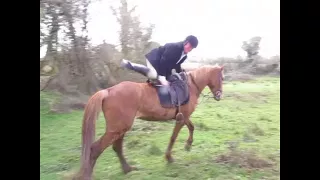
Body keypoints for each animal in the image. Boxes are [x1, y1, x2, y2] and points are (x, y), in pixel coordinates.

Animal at [75, 64, 225, 179]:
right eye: (221, 78)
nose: (219, 96)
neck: (190, 86)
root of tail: (108, 91)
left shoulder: (183, 117)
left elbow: (192, 127)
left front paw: (188, 145)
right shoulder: (181, 119)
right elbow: (173, 137)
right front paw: (169, 157)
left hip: (120, 128)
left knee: (117, 147)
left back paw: (127, 169)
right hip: (117, 129)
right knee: (95, 149)